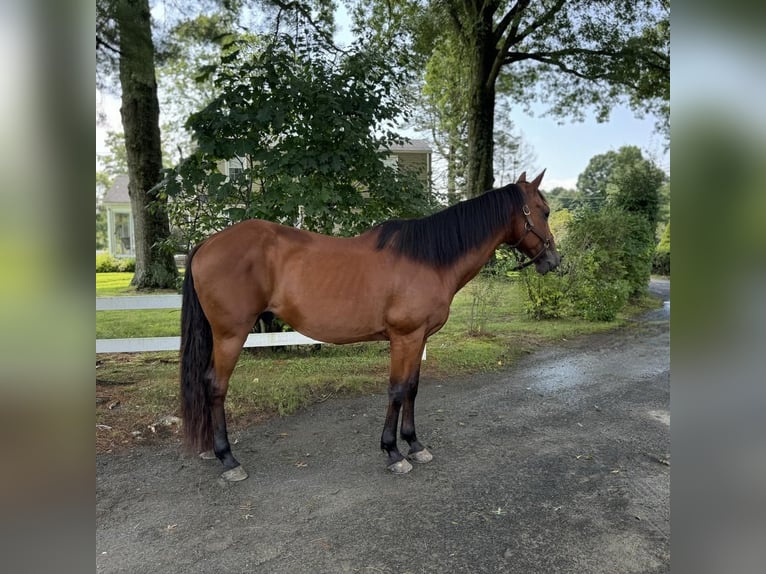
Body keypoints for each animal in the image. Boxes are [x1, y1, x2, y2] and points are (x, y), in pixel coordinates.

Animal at [182, 170, 560, 482]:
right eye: (543, 211)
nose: (555, 261)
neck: (428, 259)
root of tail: (208, 243)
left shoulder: (419, 338)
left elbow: (412, 388)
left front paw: (415, 444)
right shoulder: (405, 338)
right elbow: (396, 390)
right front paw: (393, 452)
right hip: (231, 335)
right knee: (215, 386)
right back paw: (228, 459)